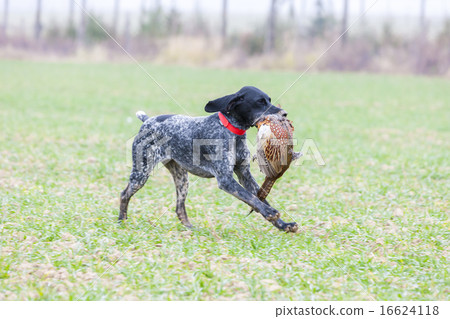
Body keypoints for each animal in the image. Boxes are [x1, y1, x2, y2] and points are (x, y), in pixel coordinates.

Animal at [118, 87, 298, 232]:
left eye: (269, 100)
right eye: (260, 102)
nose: (284, 114)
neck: (232, 130)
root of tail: (148, 121)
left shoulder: (244, 174)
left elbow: (261, 198)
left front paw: (283, 225)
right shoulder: (226, 180)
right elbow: (252, 198)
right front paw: (271, 213)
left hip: (182, 179)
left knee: (179, 207)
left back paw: (190, 228)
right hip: (141, 173)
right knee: (124, 194)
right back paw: (122, 221)